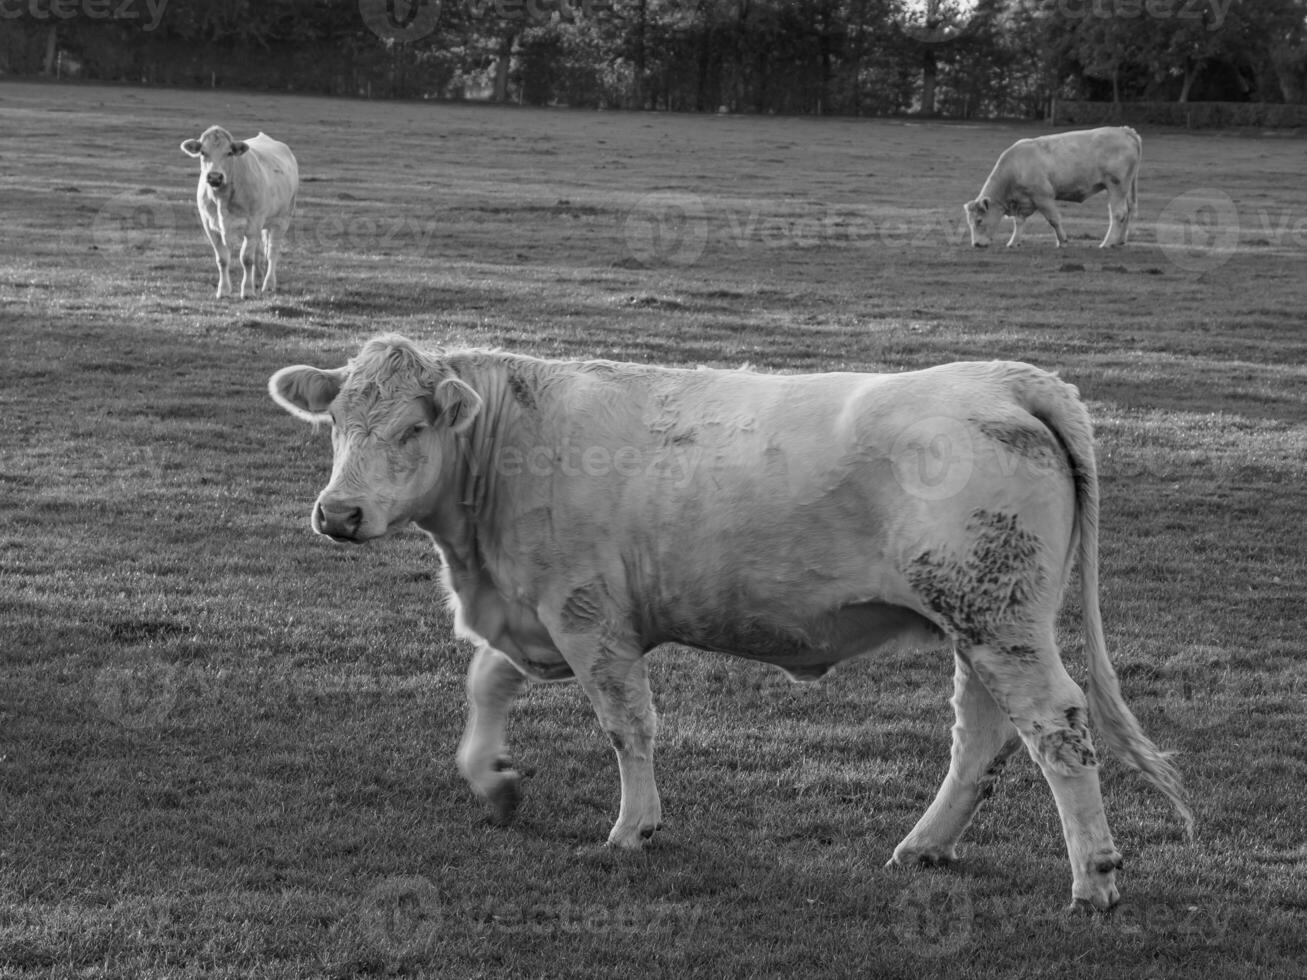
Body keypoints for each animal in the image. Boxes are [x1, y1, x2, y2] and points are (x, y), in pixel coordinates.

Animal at [179, 125, 299, 299]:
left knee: (272, 252)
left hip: (282, 219)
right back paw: (257, 280)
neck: (222, 198)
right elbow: (223, 259)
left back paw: (268, 284)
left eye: (229, 152)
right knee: (258, 252)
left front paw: (247, 290)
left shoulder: (253, 223)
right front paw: (223, 290)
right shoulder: (209, 225)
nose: (214, 177)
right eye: (202, 152)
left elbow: (246, 258)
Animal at [267, 334, 1197, 909]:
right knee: (983, 737)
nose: (338, 513)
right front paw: (492, 780)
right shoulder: (533, 607)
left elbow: (626, 726)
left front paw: (632, 828)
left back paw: (1093, 876)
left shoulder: (588, 616)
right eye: (337, 422)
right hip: (976, 622)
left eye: (411, 427)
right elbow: (485, 683)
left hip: (999, 619)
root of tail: (1004, 378)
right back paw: (923, 846)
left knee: (1057, 728)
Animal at [961, 127, 1144, 249]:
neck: (1016, 167)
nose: (976, 244)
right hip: (1126, 188)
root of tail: (1124, 131)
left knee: (1118, 213)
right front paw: (1013, 242)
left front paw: (1062, 241)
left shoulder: (1043, 197)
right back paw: (1119, 241)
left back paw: (1107, 243)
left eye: (979, 220)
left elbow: (1054, 219)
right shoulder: (1023, 201)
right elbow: (1019, 222)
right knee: (1127, 211)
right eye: (969, 222)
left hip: (1116, 185)